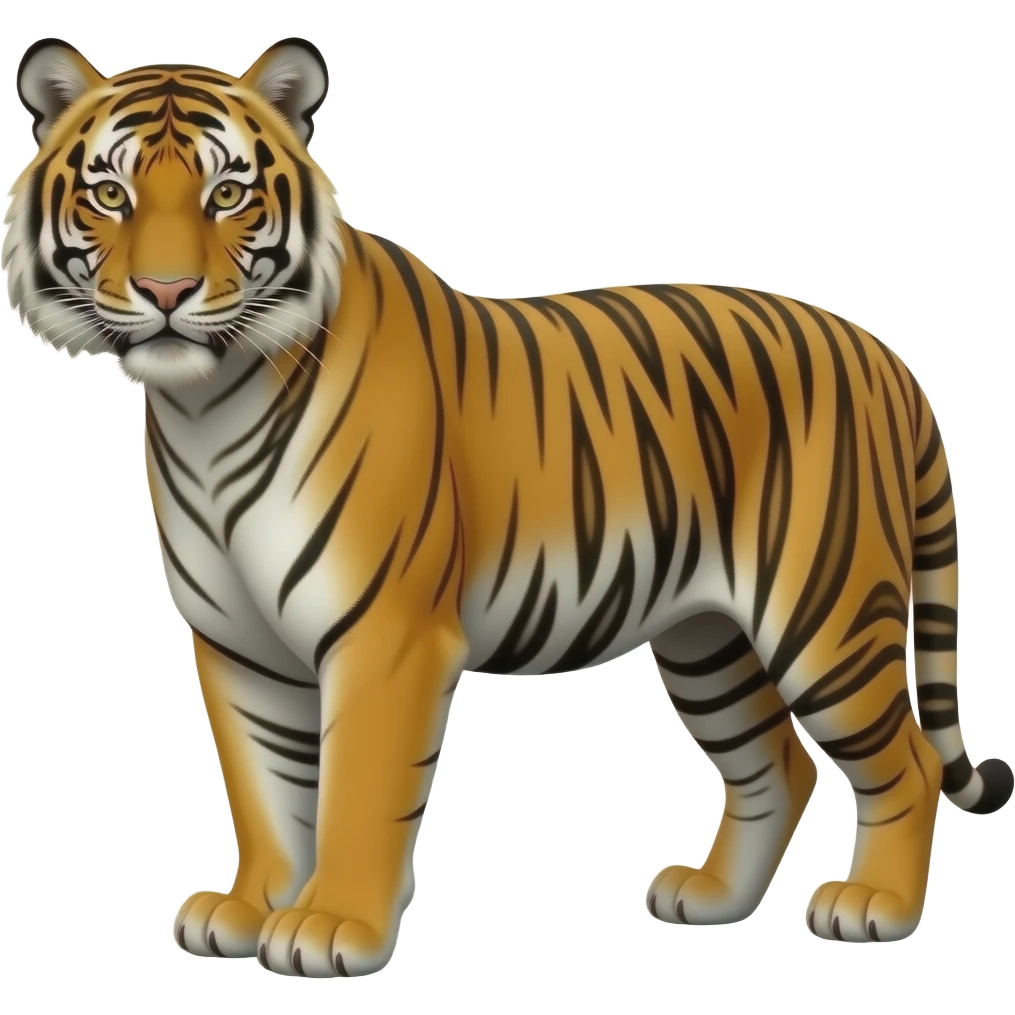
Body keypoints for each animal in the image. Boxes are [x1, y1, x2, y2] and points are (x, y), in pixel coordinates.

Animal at [3, 33, 1010, 979]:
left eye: (225, 195)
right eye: (109, 195)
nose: (166, 293)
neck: (205, 406)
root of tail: (881, 353)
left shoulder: (384, 635)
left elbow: (355, 790)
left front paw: (330, 927)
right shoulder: (236, 643)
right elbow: (264, 791)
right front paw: (250, 909)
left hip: (825, 616)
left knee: (908, 761)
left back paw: (875, 906)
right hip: (705, 638)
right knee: (779, 763)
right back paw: (712, 897)